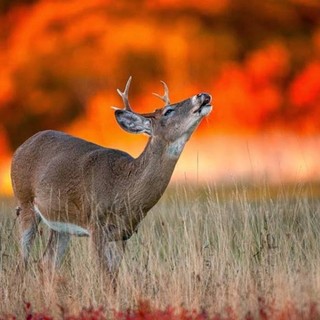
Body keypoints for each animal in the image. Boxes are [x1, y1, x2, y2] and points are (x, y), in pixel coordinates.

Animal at [10, 77, 212, 282]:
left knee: (46, 263)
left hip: (61, 224)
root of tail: (20, 148)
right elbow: (104, 276)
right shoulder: (95, 225)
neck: (123, 189)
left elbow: (113, 277)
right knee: (21, 262)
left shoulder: (123, 234)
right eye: (168, 111)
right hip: (25, 201)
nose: (202, 95)